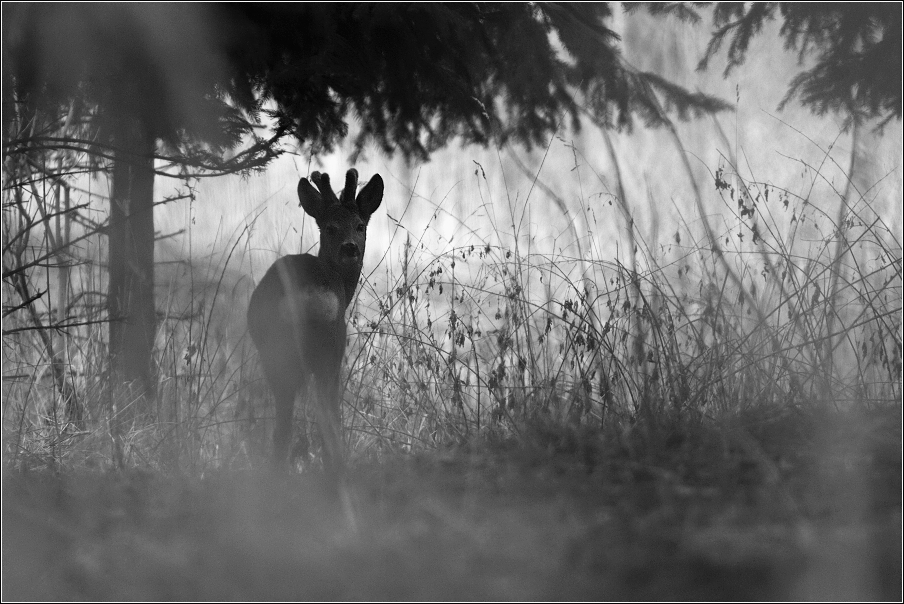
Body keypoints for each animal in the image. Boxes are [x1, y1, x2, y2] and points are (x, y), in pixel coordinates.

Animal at [249, 170, 384, 472]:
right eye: (330, 228)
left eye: (360, 225)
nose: (350, 248)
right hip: (327, 351)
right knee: (325, 414)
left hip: (274, 354)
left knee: (283, 422)